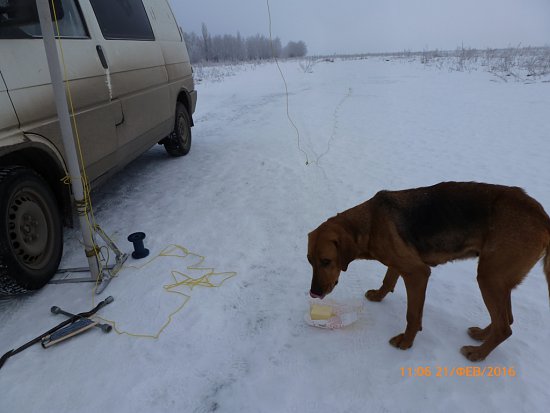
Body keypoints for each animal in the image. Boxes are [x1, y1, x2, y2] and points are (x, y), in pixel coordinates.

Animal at [308, 182, 550, 358]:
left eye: (326, 261)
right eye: (310, 261)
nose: (314, 293)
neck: (370, 224)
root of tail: (542, 217)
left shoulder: (417, 273)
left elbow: (413, 315)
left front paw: (406, 342)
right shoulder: (400, 263)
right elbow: (388, 279)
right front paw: (378, 295)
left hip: (489, 277)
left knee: (504, 328)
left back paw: (477, 354)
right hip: (499, 279)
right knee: (507, 319)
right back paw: (482, 335)